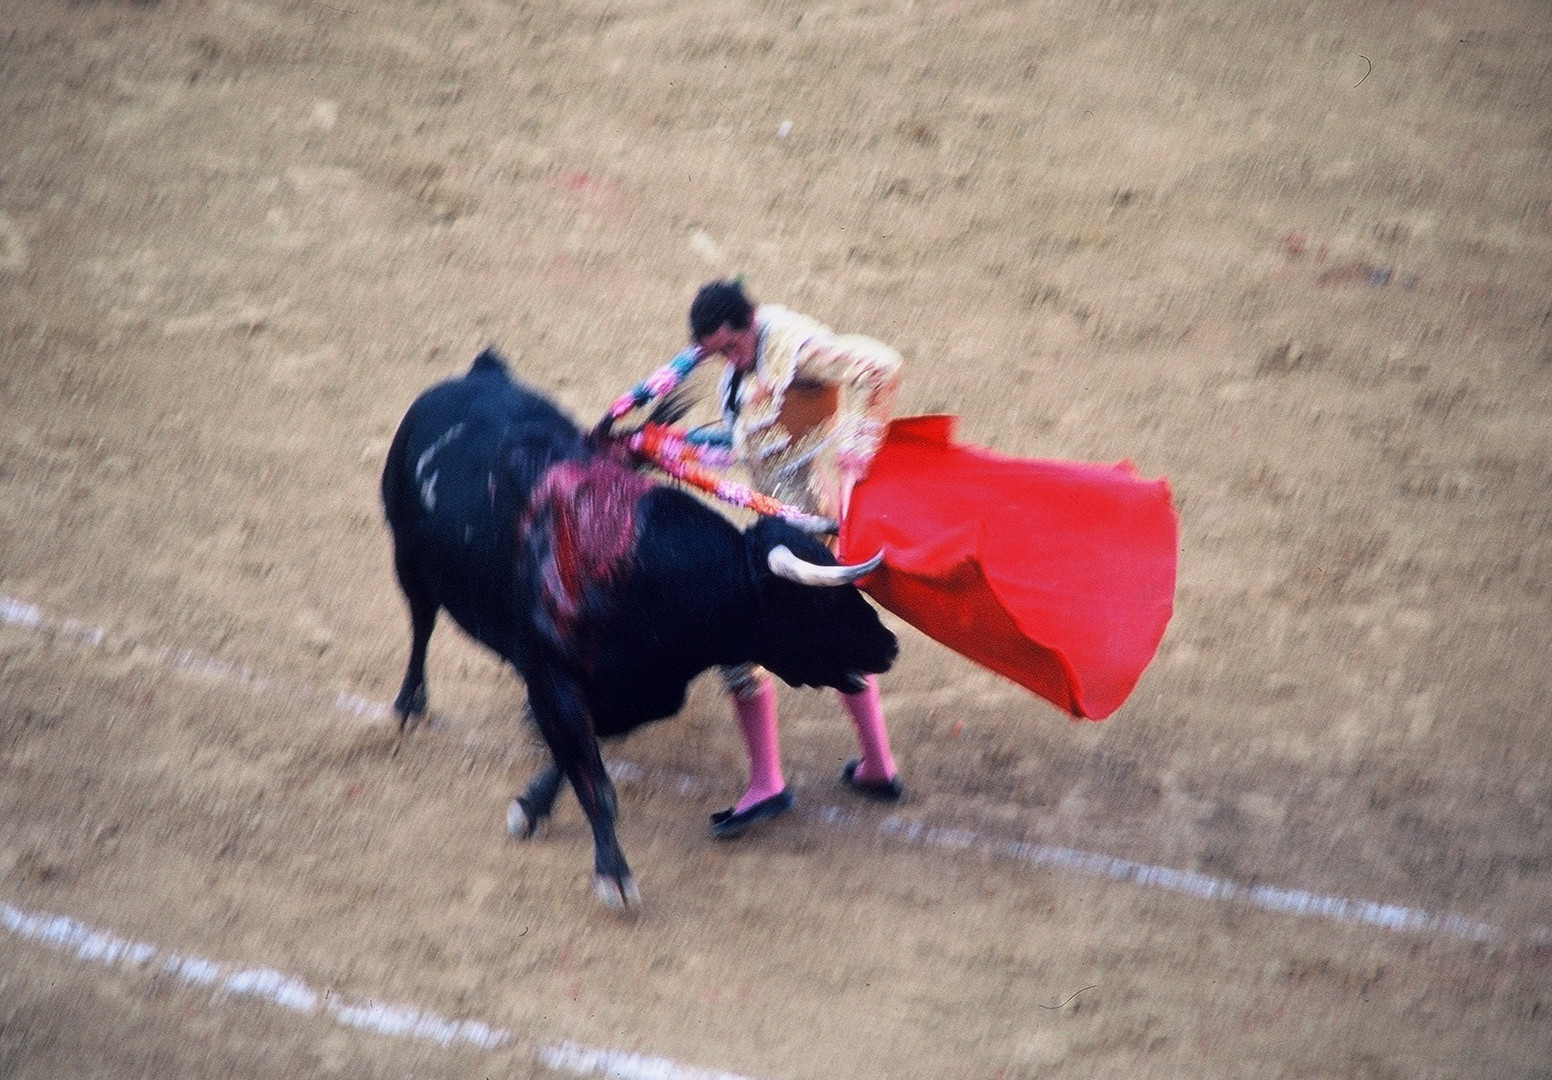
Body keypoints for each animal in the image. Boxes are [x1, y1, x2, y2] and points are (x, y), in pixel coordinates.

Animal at [378, 350, 900, 906]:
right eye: (819, 602)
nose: (889, 646)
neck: (639, 574)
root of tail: (478, 374)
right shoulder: (554, 677)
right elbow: (595, 781)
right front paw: (613, 875)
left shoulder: (639, 695)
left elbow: (578, 758)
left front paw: (533, 804)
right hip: (406, 552)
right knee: (421, 620)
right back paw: (409, 705)